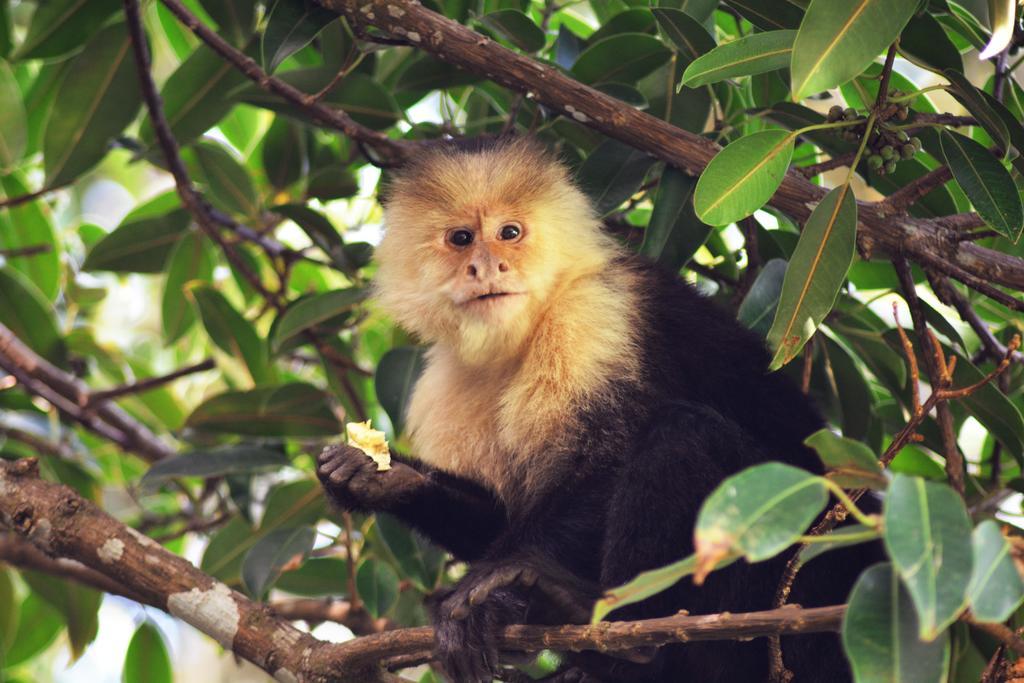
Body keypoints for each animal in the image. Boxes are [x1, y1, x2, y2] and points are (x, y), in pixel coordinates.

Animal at [315, 136, 876, 679]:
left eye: (509, 233)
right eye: (461, 239)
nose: (486, 266)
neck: (524, 332)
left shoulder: (592, 315)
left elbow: (602, 464)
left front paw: (486, 590)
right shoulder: (445, 383)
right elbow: (501, 516)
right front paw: (381, 477)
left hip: (794, 570)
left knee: (682, 434)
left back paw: (613, 631)